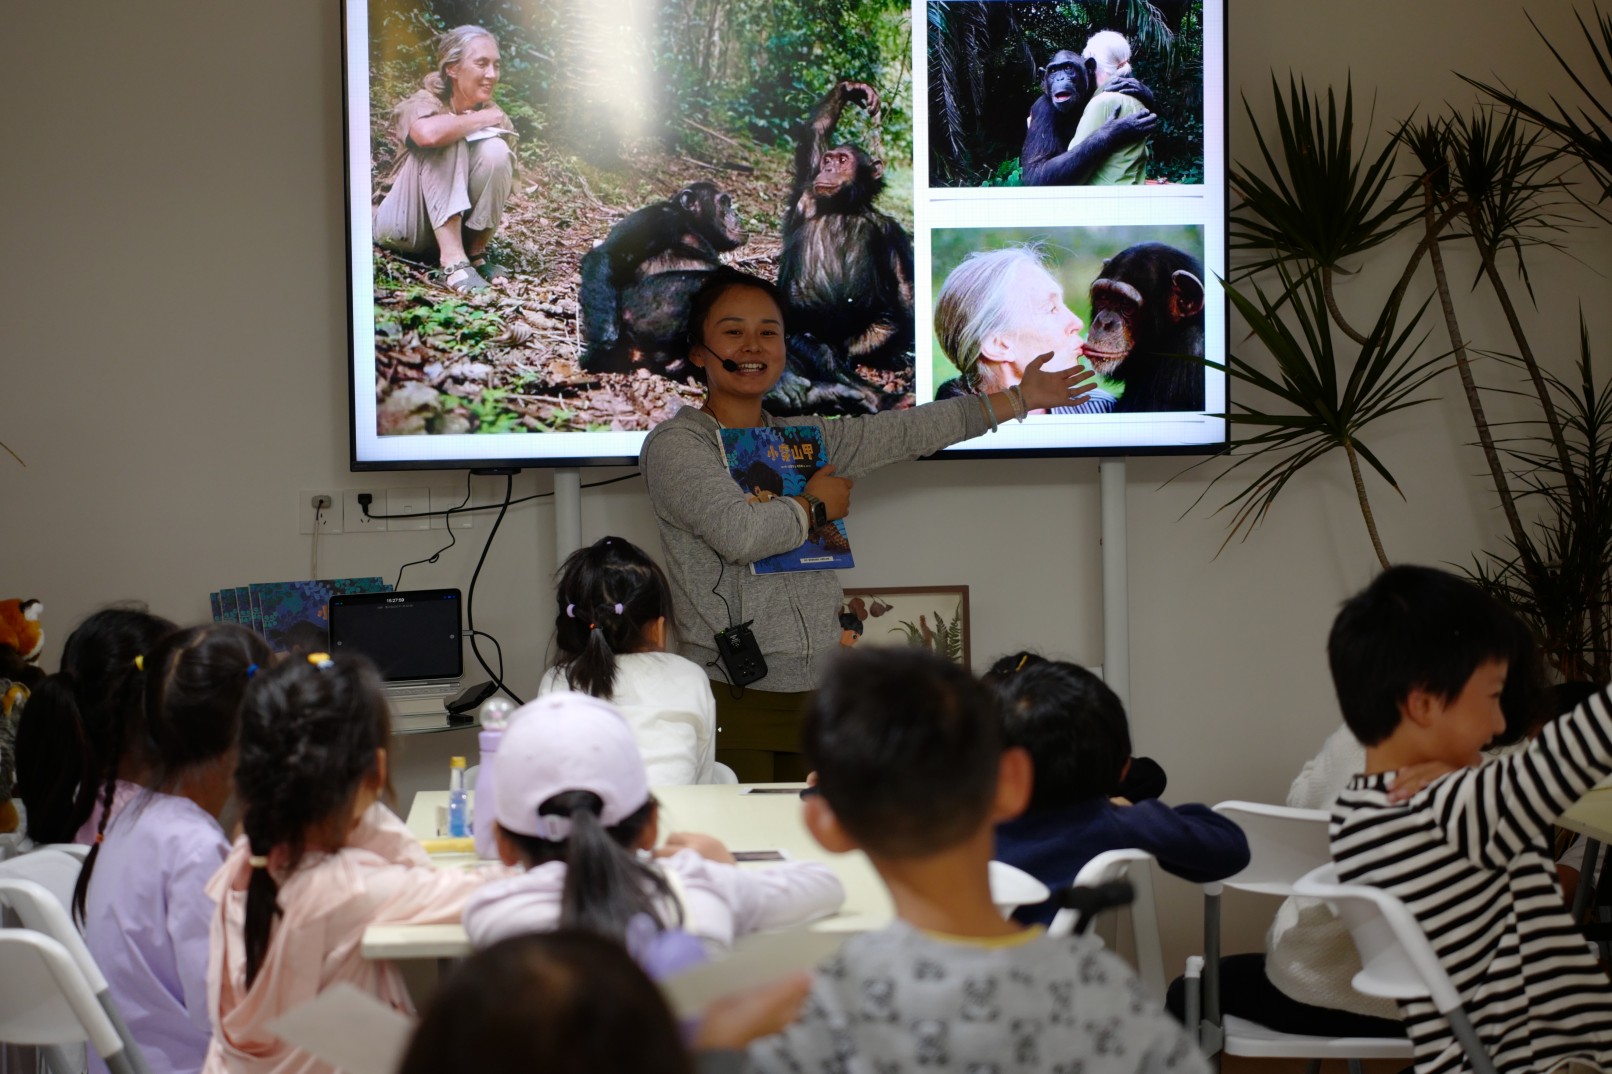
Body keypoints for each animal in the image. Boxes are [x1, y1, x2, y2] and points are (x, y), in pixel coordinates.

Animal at [580, 179, 747, 372]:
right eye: (724, 202)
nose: (735, 213)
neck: (689, 222)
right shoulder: (655, 218)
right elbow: (610, 255)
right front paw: (605, 343)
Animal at [770, 78, 915, 412]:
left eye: (843, 161)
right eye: (828, 160)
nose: (829, 169)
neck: (844, 207)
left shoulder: (892, 231)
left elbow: (905, 286)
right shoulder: (808, 186)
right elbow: (816, 132)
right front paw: (853, 89)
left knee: (884, 328)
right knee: (821, 353)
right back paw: (878, 397)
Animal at [1018, 50, 1160, 185]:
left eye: (1068, 68)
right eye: (1053, 71)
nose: (1060, 78)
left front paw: (1139, 89)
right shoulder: (1042, 110)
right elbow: (1036, 170)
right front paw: (1116, 129)